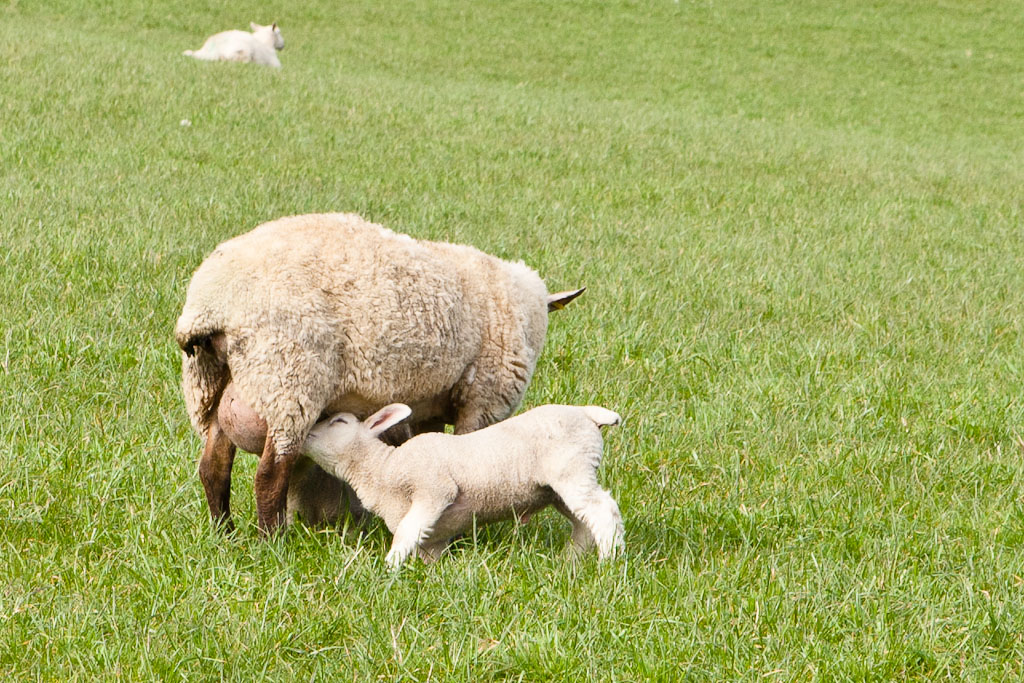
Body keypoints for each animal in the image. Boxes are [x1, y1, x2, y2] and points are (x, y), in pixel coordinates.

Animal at [175, 212, 585, 535]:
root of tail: (211, 305)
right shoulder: (482, 400)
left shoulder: (428, 405)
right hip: (288, 382)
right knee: (269, 476)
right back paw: (271, 543)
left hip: (212, 389)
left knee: (213, 468)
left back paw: (224, 534)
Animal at [303, 403, 625, 568]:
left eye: (340, 421)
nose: (306, 434)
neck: (383, 469)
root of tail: (587, 413)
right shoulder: (434, 538)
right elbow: (425, 549)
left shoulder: (433, 487)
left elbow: (405, 532)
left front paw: (389, 566)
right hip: (558, 488)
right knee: (584, 522)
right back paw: (571, 559)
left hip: (572, 469)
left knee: (602, 511)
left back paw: (608, 560)